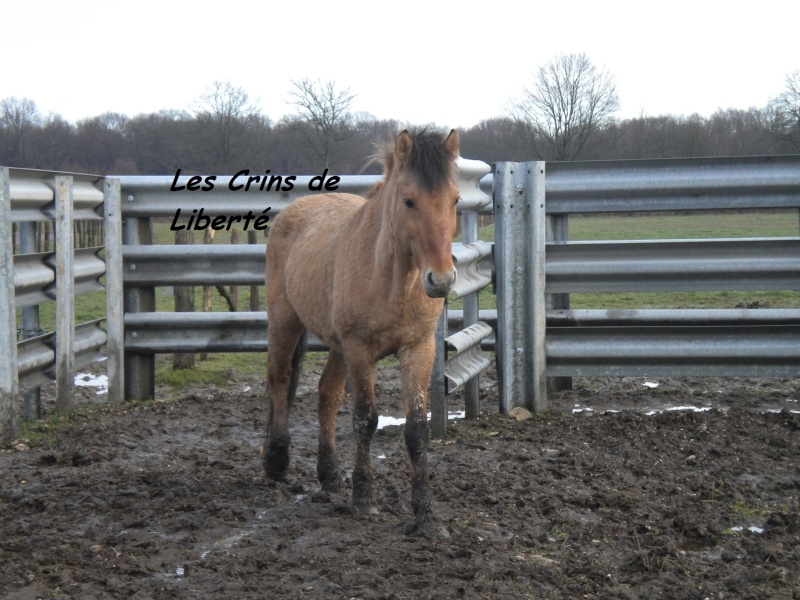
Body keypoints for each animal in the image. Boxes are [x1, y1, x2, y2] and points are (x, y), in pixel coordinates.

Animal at [262, 127, 460, 528]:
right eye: (409, 201)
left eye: (455, 200)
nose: (442, 279)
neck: (393, 282)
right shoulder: (359, 350)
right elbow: (365, 419)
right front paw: (364, 497)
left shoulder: (419, 349)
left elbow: (417, 429)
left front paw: (426, 513)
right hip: (286, 322)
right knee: (279, 377)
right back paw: (276, 460)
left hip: (336, 346)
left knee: (326, 394)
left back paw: (330, 476)